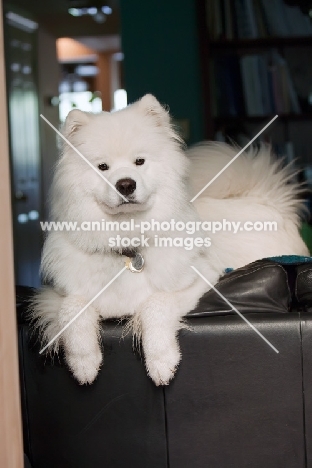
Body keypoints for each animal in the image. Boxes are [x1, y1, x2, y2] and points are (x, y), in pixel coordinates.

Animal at [30, 93, 308, 386]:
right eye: (102, 167)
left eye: (140, 162)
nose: (126, 184)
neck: (129, 242)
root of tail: (267, 202)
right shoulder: (57, 294)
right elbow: (72, 309)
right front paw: (83, 363)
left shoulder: (199, 280)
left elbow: (155, 305)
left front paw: (161, 362)